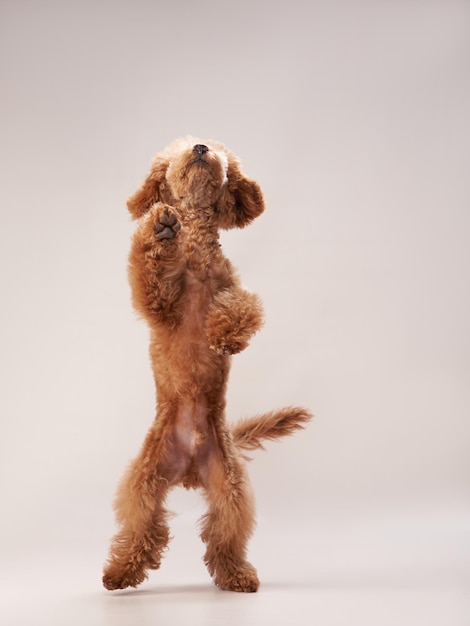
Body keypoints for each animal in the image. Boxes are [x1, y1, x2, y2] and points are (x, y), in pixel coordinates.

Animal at [103, 135, 312, 588]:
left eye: (219, 150)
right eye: (176, 151)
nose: (199, 147)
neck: (195, 255)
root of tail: (189, 469)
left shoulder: (232, 286)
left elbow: (243, 306)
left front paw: (225, 335)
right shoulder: (160, 306)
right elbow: (147, 271)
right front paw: (161, 228)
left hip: (229, 485)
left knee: (224, 535)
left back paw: (236, 575)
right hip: (145, 478)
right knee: (141, 527)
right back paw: (120, 571)